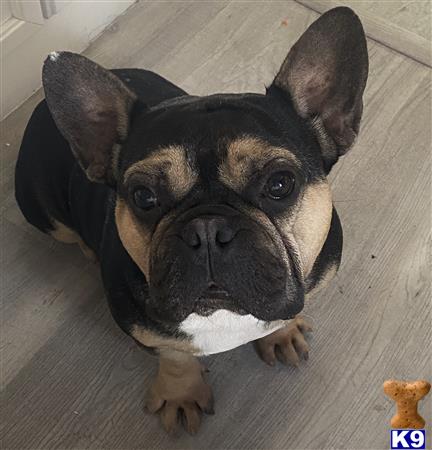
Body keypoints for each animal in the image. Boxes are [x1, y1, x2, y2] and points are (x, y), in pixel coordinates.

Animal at [16, 6, 368, 436]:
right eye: (143, 197)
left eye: (280, 183)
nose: (207, 229)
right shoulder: (148, 332)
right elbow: (175, 356)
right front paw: (181, 392)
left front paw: (282, 331)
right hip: (44, 214)